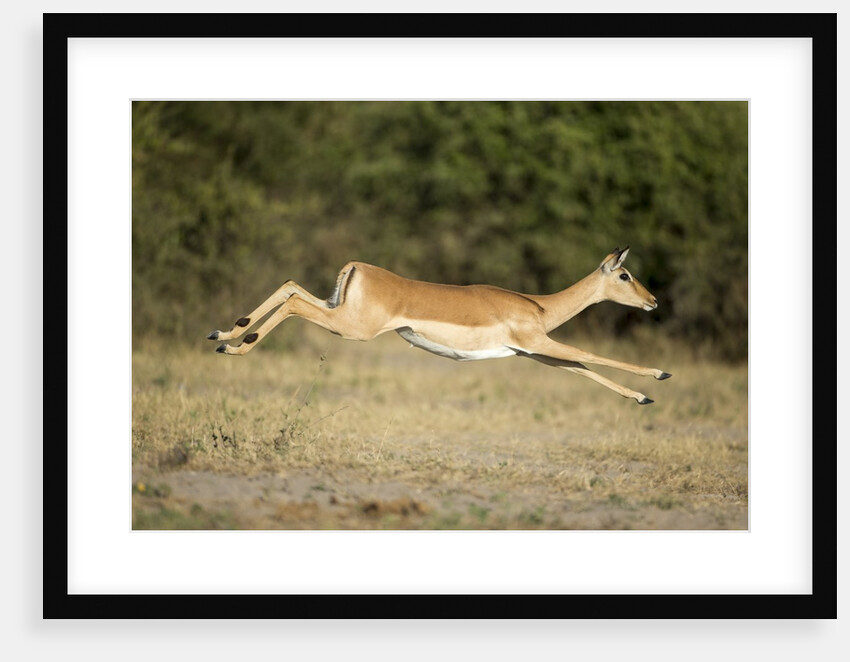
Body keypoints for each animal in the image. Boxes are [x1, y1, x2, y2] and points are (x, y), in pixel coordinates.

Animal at [208, 247, 671, 404]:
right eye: (625, 275)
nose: (653, 301)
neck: (539, 307)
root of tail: (356, 266)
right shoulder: (540, 343)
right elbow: (592, 355)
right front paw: (660, 375)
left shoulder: (534, 353)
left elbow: (584, 369)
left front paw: (643, 398)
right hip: (351, 327)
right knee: (293, 305)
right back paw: (235, 344)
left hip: (337, 308)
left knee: (290, 288)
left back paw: (224, 334)